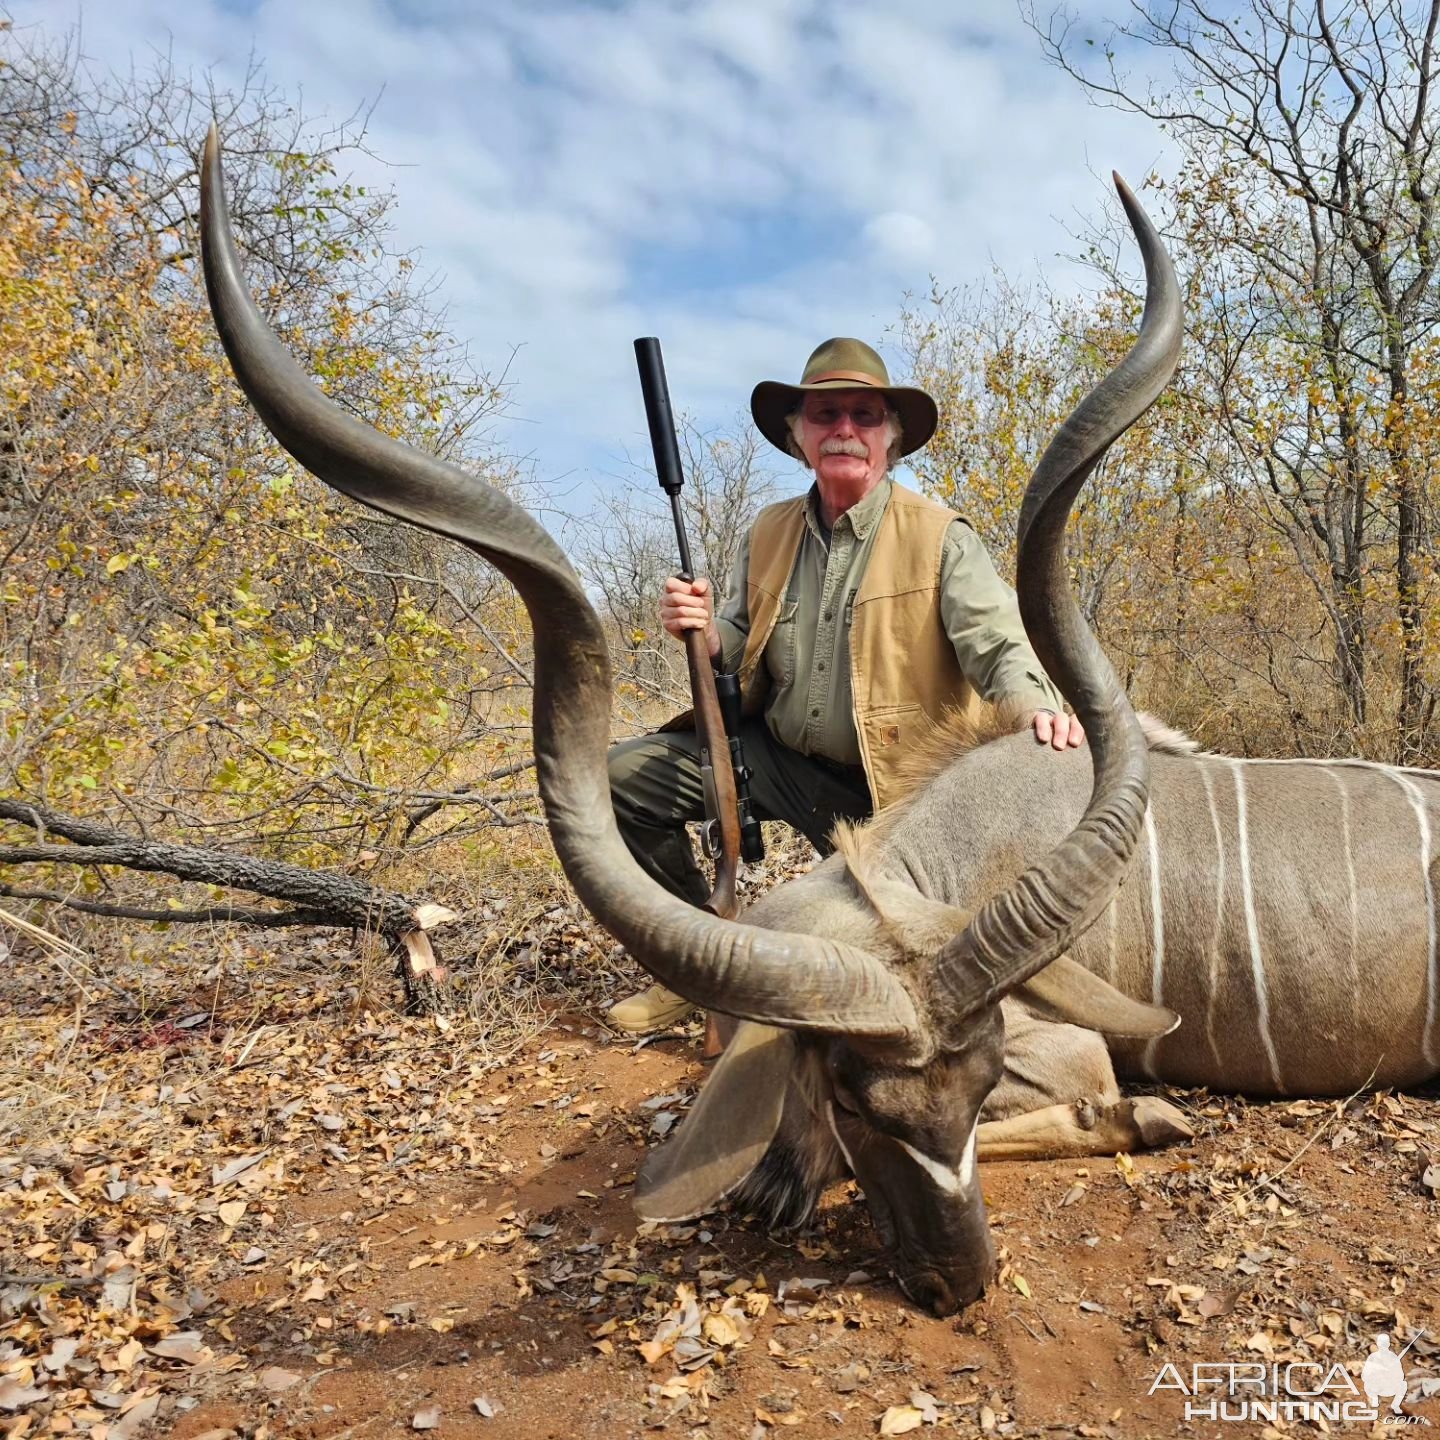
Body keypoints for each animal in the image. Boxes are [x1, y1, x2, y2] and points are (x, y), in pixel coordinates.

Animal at [200, 135, 1440, 1319]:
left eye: (973, 1089)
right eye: (851, 1093)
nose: (957, 1286)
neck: (949, 850)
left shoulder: (1074, 1044)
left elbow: (1097, 1102)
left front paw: (1135, 1122)